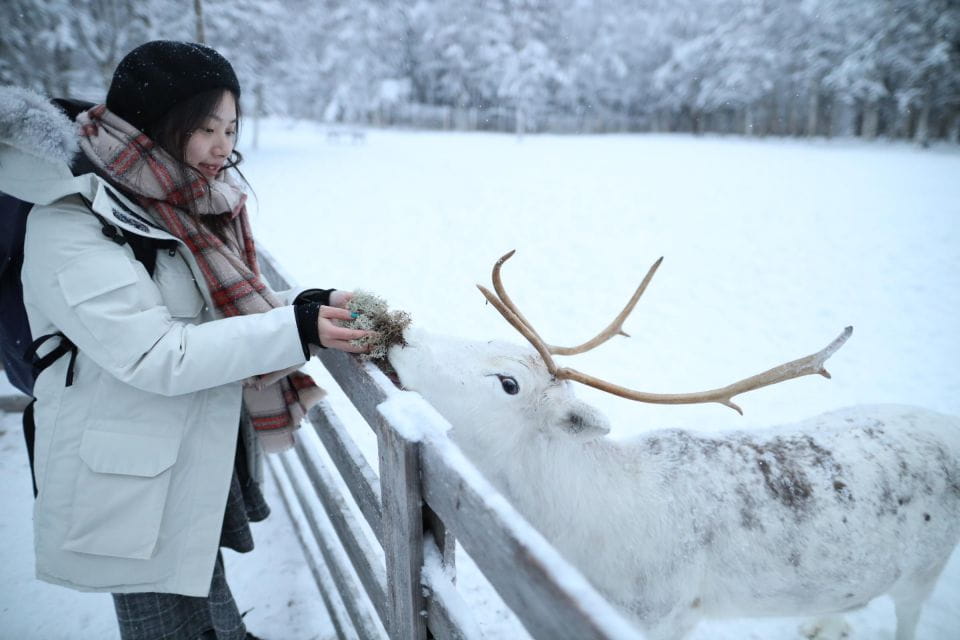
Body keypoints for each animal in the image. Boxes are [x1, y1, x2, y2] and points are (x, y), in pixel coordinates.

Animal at [386, 251, 960, 640]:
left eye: (508, 383)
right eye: (490, 341)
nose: (403, 335)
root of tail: (950, 424)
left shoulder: (669, 613)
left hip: (925, 568)